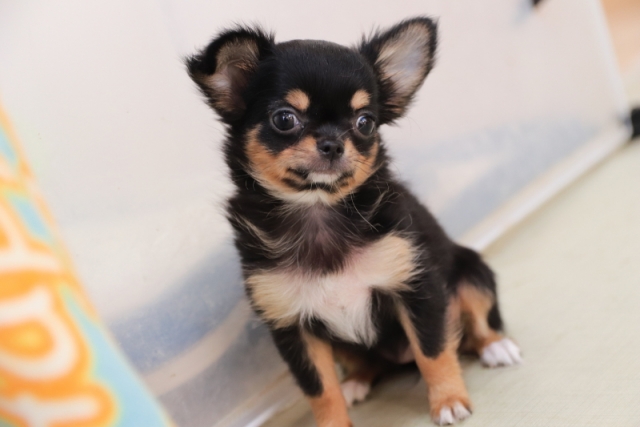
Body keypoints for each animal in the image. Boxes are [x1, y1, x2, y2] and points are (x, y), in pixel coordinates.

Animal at [187, 17, 521, 426]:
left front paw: (448, 400)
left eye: (365, 123)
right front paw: (334, 419)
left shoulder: (417, 289)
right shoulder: (293, 326)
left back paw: (496, 347)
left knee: (475, 325)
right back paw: (356, 382)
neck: (317, 209)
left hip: (472, 275)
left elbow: (433, 351)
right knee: (366, 363)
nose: (333, 143)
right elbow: (319, 389)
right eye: (284, 119)